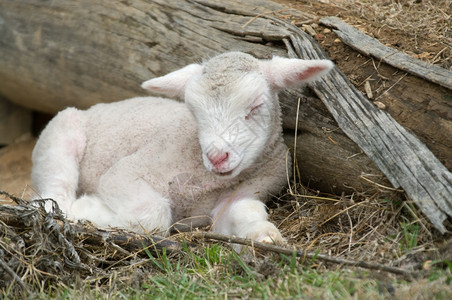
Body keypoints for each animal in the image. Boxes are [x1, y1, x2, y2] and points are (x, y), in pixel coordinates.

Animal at [31, 51, 334, 244]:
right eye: (194, 112)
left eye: (256, 106)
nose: (217, 157)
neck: (204, 178)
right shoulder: (125, 173)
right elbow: (153, 215)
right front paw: (90, 209)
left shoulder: (255, 186)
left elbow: (243, 212)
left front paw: (265, 236)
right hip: (58, 138)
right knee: (52, 197)